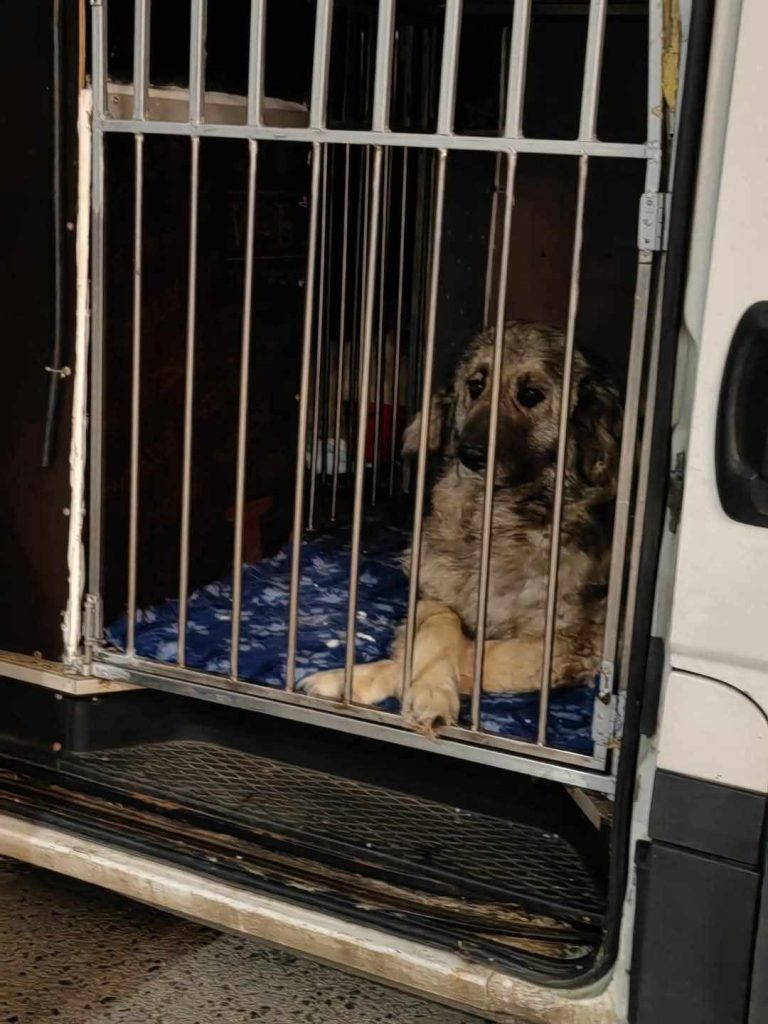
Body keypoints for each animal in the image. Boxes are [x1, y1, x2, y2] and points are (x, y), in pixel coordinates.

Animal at [301, 321, 626, 737]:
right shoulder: (432, 595)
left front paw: (422, 689)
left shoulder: (579, 643)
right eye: (475, 385)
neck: (494, 519)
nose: (470, 454)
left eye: (531, 395)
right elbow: (441, 629)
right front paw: (392, 681)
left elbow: (483, 653)